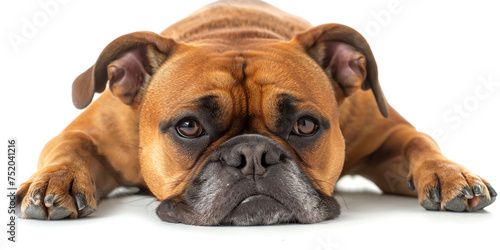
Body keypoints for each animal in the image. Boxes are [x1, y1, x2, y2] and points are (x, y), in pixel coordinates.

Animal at [17, 0, 494, 226]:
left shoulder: (386, 136)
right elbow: (69, 148)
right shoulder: (91, 132)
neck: (237, 33)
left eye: (306, 125)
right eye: (188, 127)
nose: (252, 156)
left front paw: (450, 173)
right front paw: (55, 182)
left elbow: (418, 142)